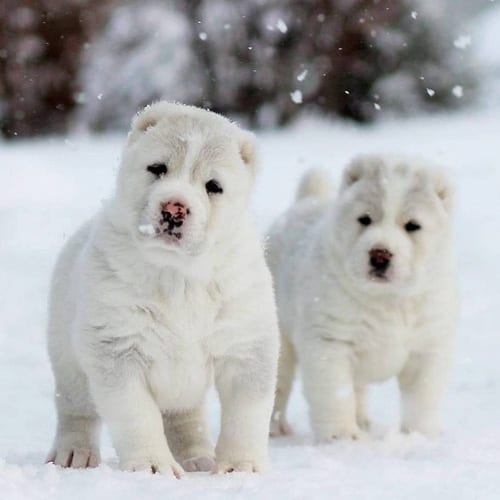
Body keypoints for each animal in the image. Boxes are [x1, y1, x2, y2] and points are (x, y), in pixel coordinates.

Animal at [45, 100, 280, 472]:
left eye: (213, 186)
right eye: (157, 168)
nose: (175, 207)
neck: (178, 276)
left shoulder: (246, 341)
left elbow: (247, 413)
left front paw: (240, 466)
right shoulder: (116, 346)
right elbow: (137, 415)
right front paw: (153, 467)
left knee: (185, 417)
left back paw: (198, 458)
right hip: (68, 357)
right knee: (75, 408)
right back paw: (74, 454)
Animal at [268, 155, 458, 442]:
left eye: (413, 226)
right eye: (365, 219)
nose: (380, 255)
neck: (387, 300)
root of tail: (306, 200)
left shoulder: (428, 345)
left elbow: (422, 396)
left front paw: (419, 434)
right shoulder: (330, 342)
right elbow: (336, 393)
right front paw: (342, 436)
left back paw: (363, 421)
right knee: (278, 382)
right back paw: (275, 428)